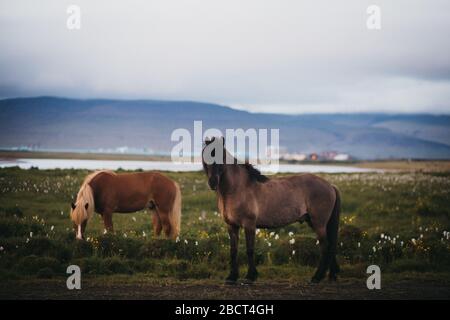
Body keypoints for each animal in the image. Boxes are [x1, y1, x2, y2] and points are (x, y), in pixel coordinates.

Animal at [202, 138, 340, 282]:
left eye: (221, 156)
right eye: (205, 156)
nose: (213, 182)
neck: (236, 189)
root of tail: (330, 186)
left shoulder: (249, 225)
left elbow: (250, 250)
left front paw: (251, 276)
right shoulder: (232, 226)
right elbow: (233, 251)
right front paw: (232, 277)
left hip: (319, 223)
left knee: (325, 247)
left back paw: (317, 277)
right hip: (315, 222)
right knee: (330, 245)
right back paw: (331, 275)